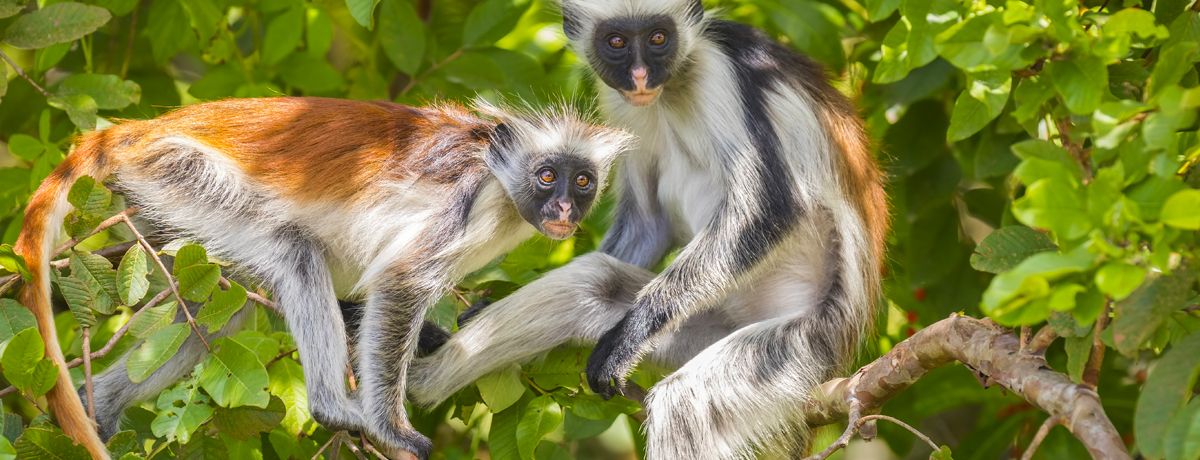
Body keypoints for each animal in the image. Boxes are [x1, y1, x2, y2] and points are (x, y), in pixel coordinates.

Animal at [14, 95, 633, 458]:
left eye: (581, 181)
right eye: (547, 175)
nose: (563, 209)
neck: (501, 179)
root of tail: (136, 131)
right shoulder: (468, 199)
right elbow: (400, 282)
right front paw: (392, 428)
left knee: (219, 312)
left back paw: (100, 405)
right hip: (177, 171)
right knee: (294, 253)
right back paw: (333, 406)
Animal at [408, 1, 888, 458]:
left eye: (659, 37)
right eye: (617, 41)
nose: (640, 76)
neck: (671, 88)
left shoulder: (720, 72)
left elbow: (771, 206)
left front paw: (628, 336)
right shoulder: (620, 100)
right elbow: (648, 223)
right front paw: (477, 309)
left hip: (799, 340)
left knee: (684, 404)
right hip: (702, 325)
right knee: (594, 281)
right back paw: (416, 379)